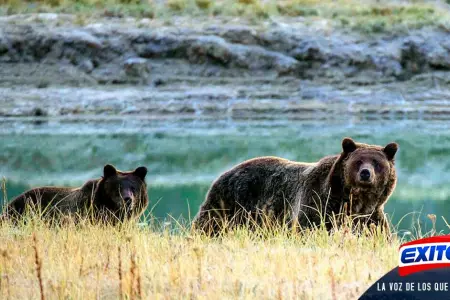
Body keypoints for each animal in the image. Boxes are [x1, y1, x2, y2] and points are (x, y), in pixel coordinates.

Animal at [192, 137, 398, 236]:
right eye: (358, 161)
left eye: (376, 163)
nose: (365, 173)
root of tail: (224, 173)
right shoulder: (318, 204)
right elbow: (308, 229)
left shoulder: (370, 217)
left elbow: (377, 234)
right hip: (230, 202)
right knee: (209, 225)